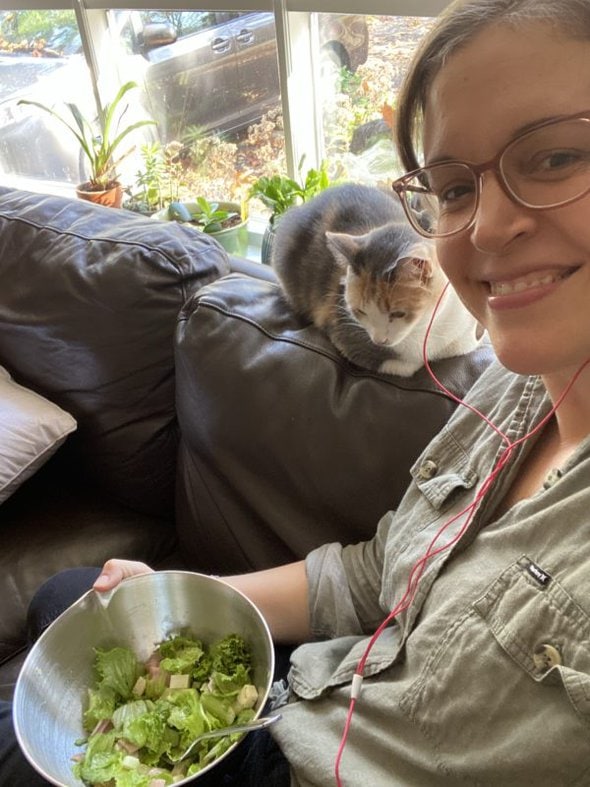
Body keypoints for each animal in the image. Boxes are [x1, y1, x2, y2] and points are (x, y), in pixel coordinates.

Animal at [270, 185, 484, 382]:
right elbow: (405, 366)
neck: (425, 329)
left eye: (398, 314)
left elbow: (464, 344)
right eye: (360, 311)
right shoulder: (342, 327)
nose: (379, 340)